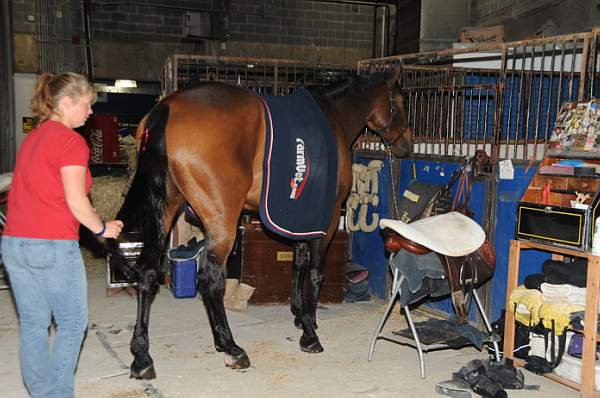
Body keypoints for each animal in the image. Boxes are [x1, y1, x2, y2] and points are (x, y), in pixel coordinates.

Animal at [108, 69, 412, 380]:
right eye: (401, 101)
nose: (406, 145)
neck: (334, 115)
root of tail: (166, 108)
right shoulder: (325, 220)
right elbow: (316, 272)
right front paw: (310, 333)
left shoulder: (300, 216)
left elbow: (298, 264)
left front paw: (299, 314)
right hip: (222, 221)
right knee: (209, 279)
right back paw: (231, 347)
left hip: (166, 208)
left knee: (147, 272)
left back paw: (142, 356)